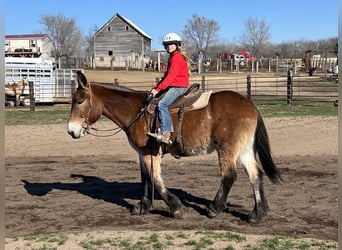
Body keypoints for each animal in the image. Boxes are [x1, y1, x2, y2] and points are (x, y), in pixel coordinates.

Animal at [67, 71, 280, 222]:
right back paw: (257, 213)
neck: (136, 111)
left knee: (229, 176)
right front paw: (143, 206)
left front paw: (176, 208)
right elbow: (145, 179)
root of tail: (250, 105)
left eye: (79, 101)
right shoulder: (142, 153)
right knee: (255, 176)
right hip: (244, 150)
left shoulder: (150, 153)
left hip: (227, 149)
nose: (71, 130)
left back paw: (215, 208)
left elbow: (155, 179)